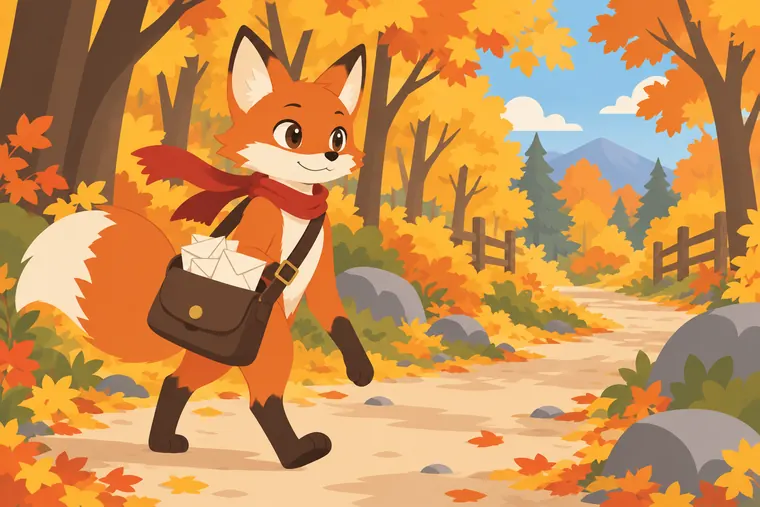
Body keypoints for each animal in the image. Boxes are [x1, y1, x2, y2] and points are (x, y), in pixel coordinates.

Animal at [14, 26, 374, 470]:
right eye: (293, 134)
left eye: (339, 135)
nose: (329, 154)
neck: (294, 205)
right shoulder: (260, 240)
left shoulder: (321, 269)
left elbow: (337, 317)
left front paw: (361, 370)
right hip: (269, 346)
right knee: (260, 400)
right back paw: (298, 455)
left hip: (215, 357)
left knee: (176, 381)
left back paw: (164, 443)